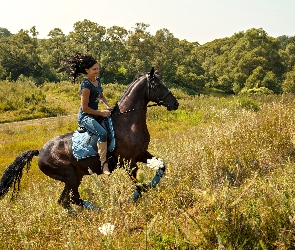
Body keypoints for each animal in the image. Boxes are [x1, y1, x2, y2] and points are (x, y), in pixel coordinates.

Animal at [0, 67, 178, 210]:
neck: (128, 121)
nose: (175, 103)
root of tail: (40, 152)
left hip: (74, 178)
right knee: (70, 199)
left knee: (67, 200)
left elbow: (161, 167)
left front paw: (151, 185)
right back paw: (99, 211)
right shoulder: (128, 161)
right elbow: (140, 186)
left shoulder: (141, 154)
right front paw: (132, 199)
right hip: (70, 177)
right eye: (157, 85)